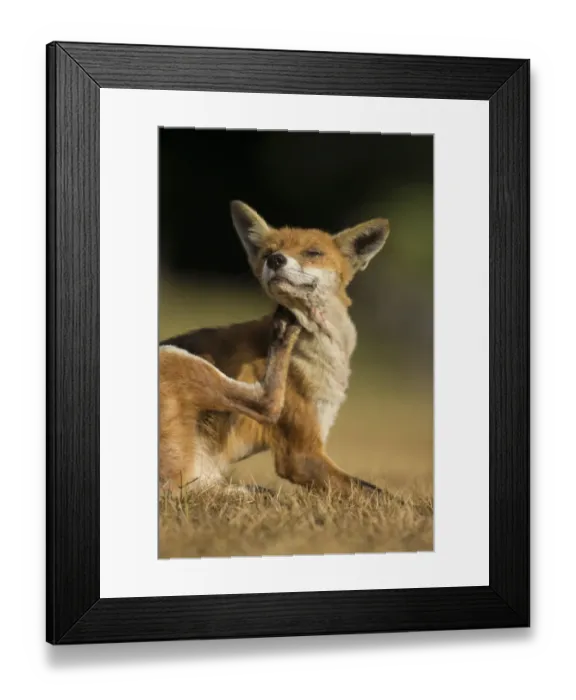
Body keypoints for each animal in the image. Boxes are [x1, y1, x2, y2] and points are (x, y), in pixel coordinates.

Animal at [159, 201, 390, 496]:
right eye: (269, 253)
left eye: (313, 253)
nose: (275, 260)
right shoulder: (300, 455)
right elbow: (381, 494)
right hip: (171, 356)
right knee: (266, 402)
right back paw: (282, 334)